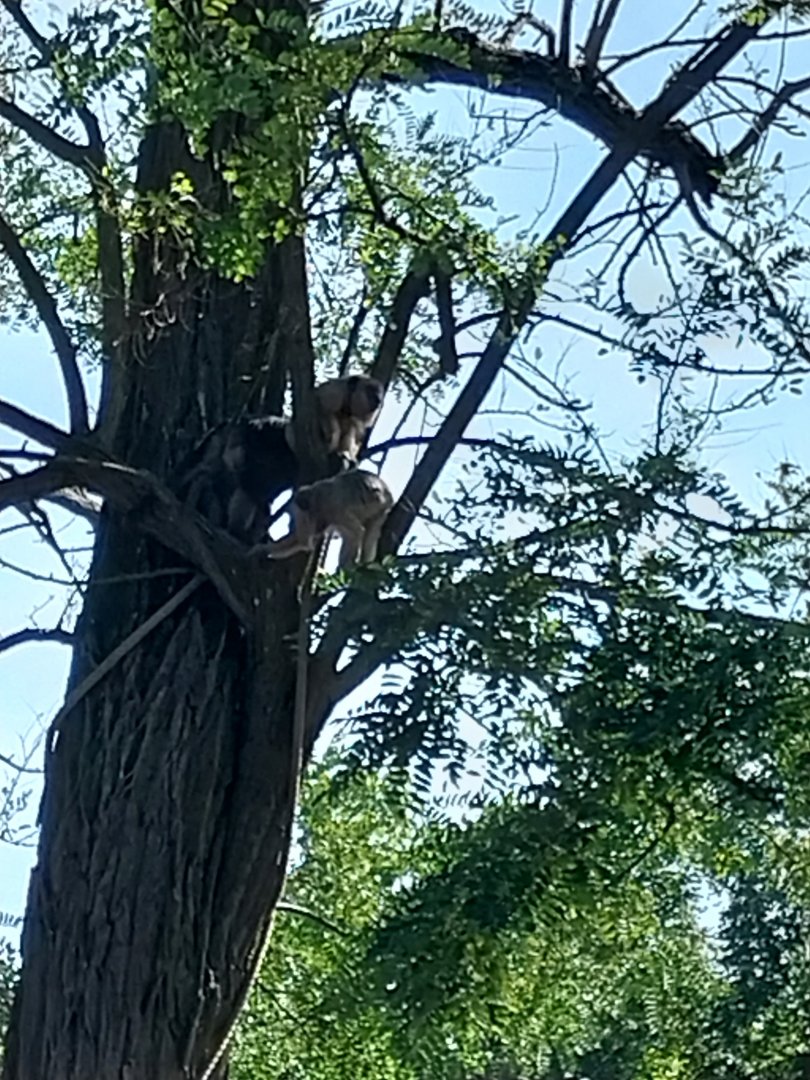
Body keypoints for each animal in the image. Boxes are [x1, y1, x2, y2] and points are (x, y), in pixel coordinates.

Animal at [264, 469, 393, 568]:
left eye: (299, 517)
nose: (291, 524)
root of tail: (387, 494)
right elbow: (299, 542)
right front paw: (264, 549)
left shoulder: (331, 507)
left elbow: (356, 531)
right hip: (380, 509)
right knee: (369, 532)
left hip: (374, 500)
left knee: (356, 532)